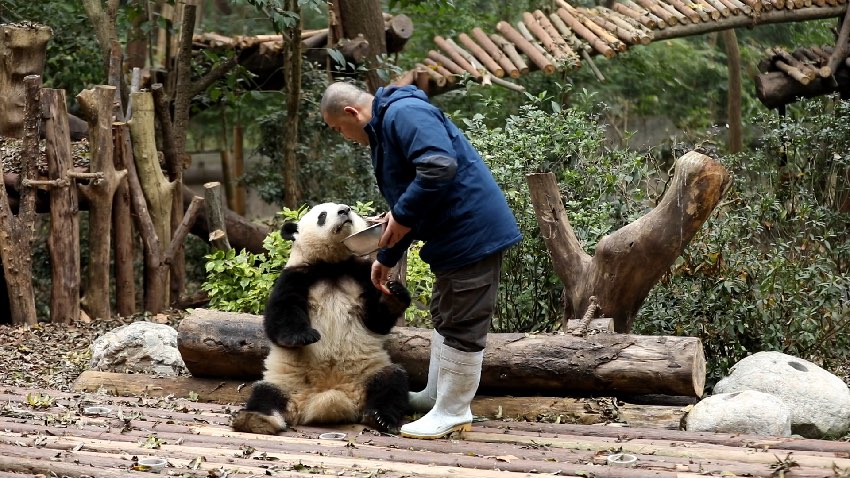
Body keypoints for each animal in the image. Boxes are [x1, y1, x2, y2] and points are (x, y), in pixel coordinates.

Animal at [232, 204, 410, 436]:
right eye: (322, 215)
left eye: (349, 209)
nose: (345, 210)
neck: (331, 267)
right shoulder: (297, 275)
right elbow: (280, 314)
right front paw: (304, 336)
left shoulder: (360, 276)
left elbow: (377, 321)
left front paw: (394, 295)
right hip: (286, 382)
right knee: (265, 393)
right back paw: (255, 419)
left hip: (368, 372)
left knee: (392, 382)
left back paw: (381, 418)